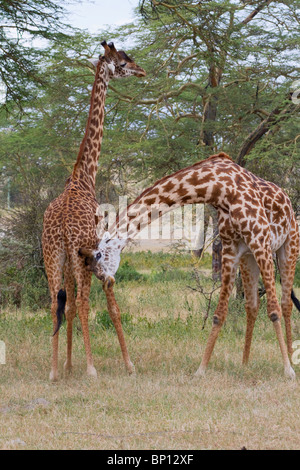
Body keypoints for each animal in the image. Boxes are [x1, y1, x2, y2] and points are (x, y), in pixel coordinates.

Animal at [42, 40, 145, 382]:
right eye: (123, 63)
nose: (142, 70)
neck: (84, 176)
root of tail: (60, 226)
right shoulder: (92, 249)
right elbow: (84, 304)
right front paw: (83, 366)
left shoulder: (68, 257)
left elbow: (68, 307)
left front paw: (67, 365)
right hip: (76, 253)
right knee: (83, 302)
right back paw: (91, 368)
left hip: (51, 255)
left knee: (55, 303)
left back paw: (53, 372)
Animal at [79, 152, 300, 380]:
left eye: (98, 256)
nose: (105, 281)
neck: (218, 188)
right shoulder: (231, 248)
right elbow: (219, 314)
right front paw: (201, 370)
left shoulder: (260, 240)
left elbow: (273, 310)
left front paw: (288, 370)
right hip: (248, 258)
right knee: (252, 305)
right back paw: (245, 363)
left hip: (288, 246)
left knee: (285, 303)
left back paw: (291, 358)